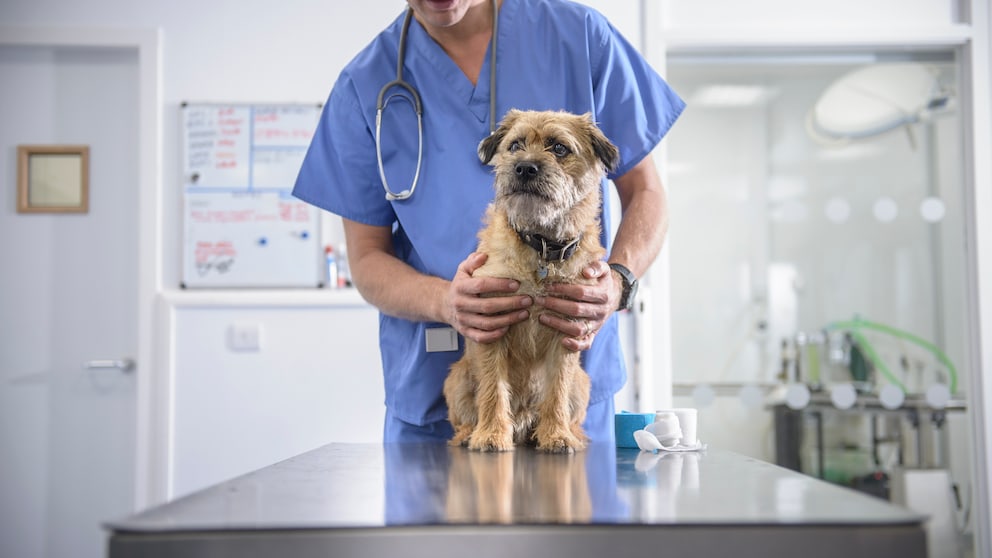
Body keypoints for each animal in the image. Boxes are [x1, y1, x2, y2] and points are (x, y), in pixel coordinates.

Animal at [444, 110, 616, 456]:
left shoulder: (567, 332)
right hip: (457, 378)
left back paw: (566, 433)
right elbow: (493, 388)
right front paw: (492, 435)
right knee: (463, 418)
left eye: (559, 148)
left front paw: (557, 435)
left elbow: (557, 390)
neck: (542, 248)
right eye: (515, 145)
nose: (524, 167)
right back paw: (471, 434)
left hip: (583, 383)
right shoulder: (491, 325)